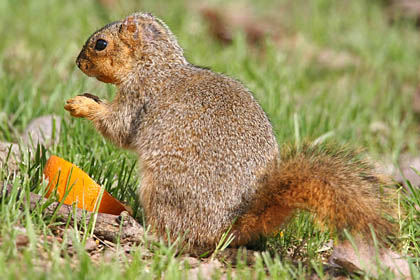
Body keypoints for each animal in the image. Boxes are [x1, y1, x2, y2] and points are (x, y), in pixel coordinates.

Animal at [65, 12, 398, 254]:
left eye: (100, 44)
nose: (78, 63)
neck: (154, 65)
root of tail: (228, 230)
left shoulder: (140, 96)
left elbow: (119, 129)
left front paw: (83, 105)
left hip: (163, 188)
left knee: (176, 235)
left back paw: (143, 232)